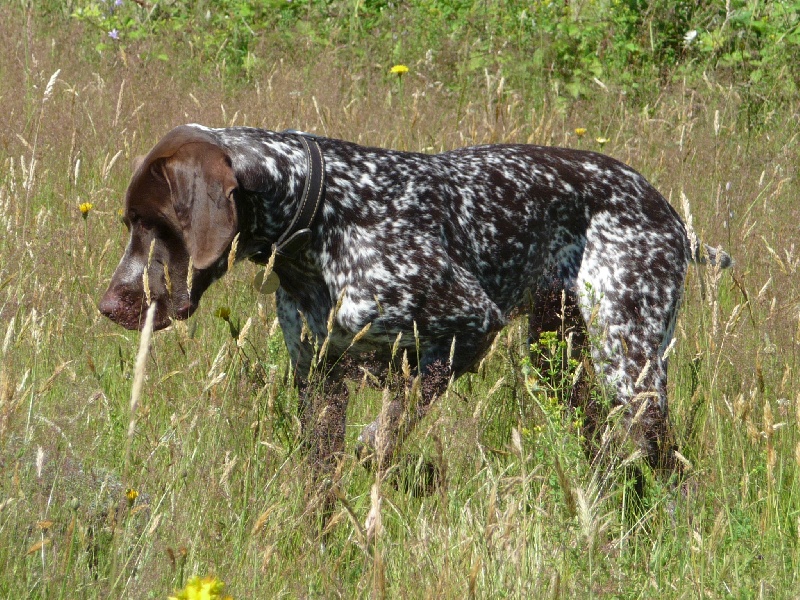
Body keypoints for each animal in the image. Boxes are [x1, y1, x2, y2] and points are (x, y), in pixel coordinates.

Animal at [98, 125, 732, 482]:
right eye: (133, 222)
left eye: (153, 223)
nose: (108, 305)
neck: (323, 218)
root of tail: (664, 207)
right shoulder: (319, 380)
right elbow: (321, 484)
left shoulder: (467, 329)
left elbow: (385, 434)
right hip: (558, 358)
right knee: (600, 445)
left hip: (628, 360)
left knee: (665, 458)